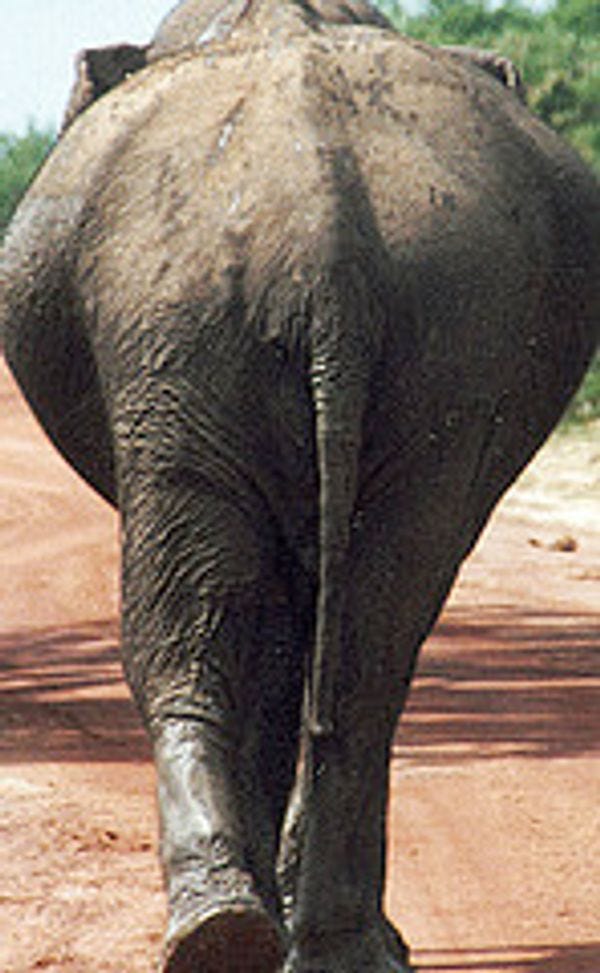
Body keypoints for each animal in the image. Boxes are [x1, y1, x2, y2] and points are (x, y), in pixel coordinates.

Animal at [1, 0, 598, 970]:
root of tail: (328, 225)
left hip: (183, 329)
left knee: (190, 627)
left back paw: (227, 933)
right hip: (425, 326)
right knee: (369, 640)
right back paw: (308, 943)